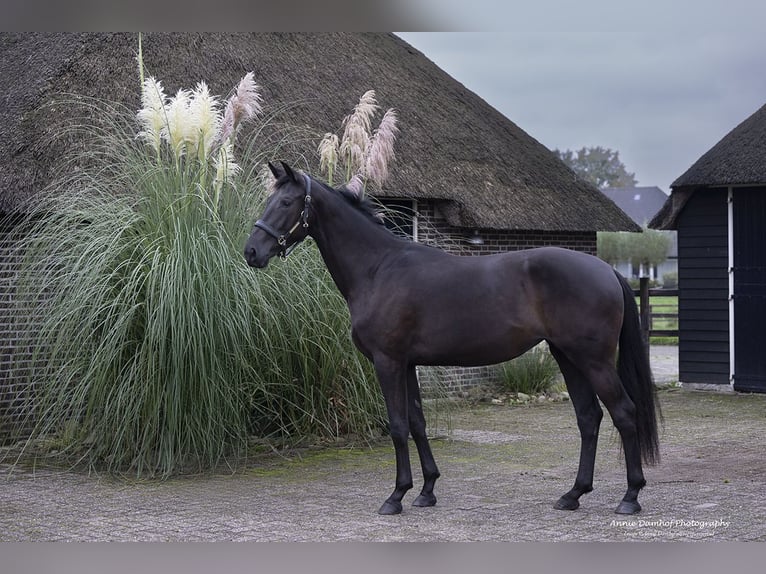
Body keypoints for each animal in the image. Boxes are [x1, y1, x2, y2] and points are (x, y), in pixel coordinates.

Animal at [244, 161, 660, 516]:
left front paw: (395, 496)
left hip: (594, 360)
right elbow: (417, 423)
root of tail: (606, 269)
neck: (379, 268)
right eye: (268, 200)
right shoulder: (407, 364)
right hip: (567, 356)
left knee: (624, 414)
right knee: (588, 418)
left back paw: (630, 496)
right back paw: (573, 494)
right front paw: (426, 490)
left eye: (285, 202)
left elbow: (397, 425)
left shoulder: (387, 362)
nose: (251, 252)